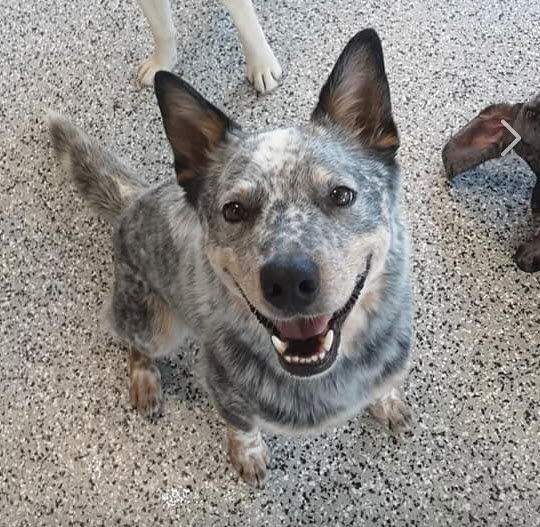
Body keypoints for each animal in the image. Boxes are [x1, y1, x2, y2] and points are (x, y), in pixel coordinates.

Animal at [49, 31, 414, 488]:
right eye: (234, 210)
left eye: (341, 195)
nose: (288, 282)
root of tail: (134, 201)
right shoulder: (224, 390)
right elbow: (242, 428)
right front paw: (248, 456)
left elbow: (384, 386)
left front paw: (388, 402)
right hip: (156, 323)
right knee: (131, 340)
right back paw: (145, 380)